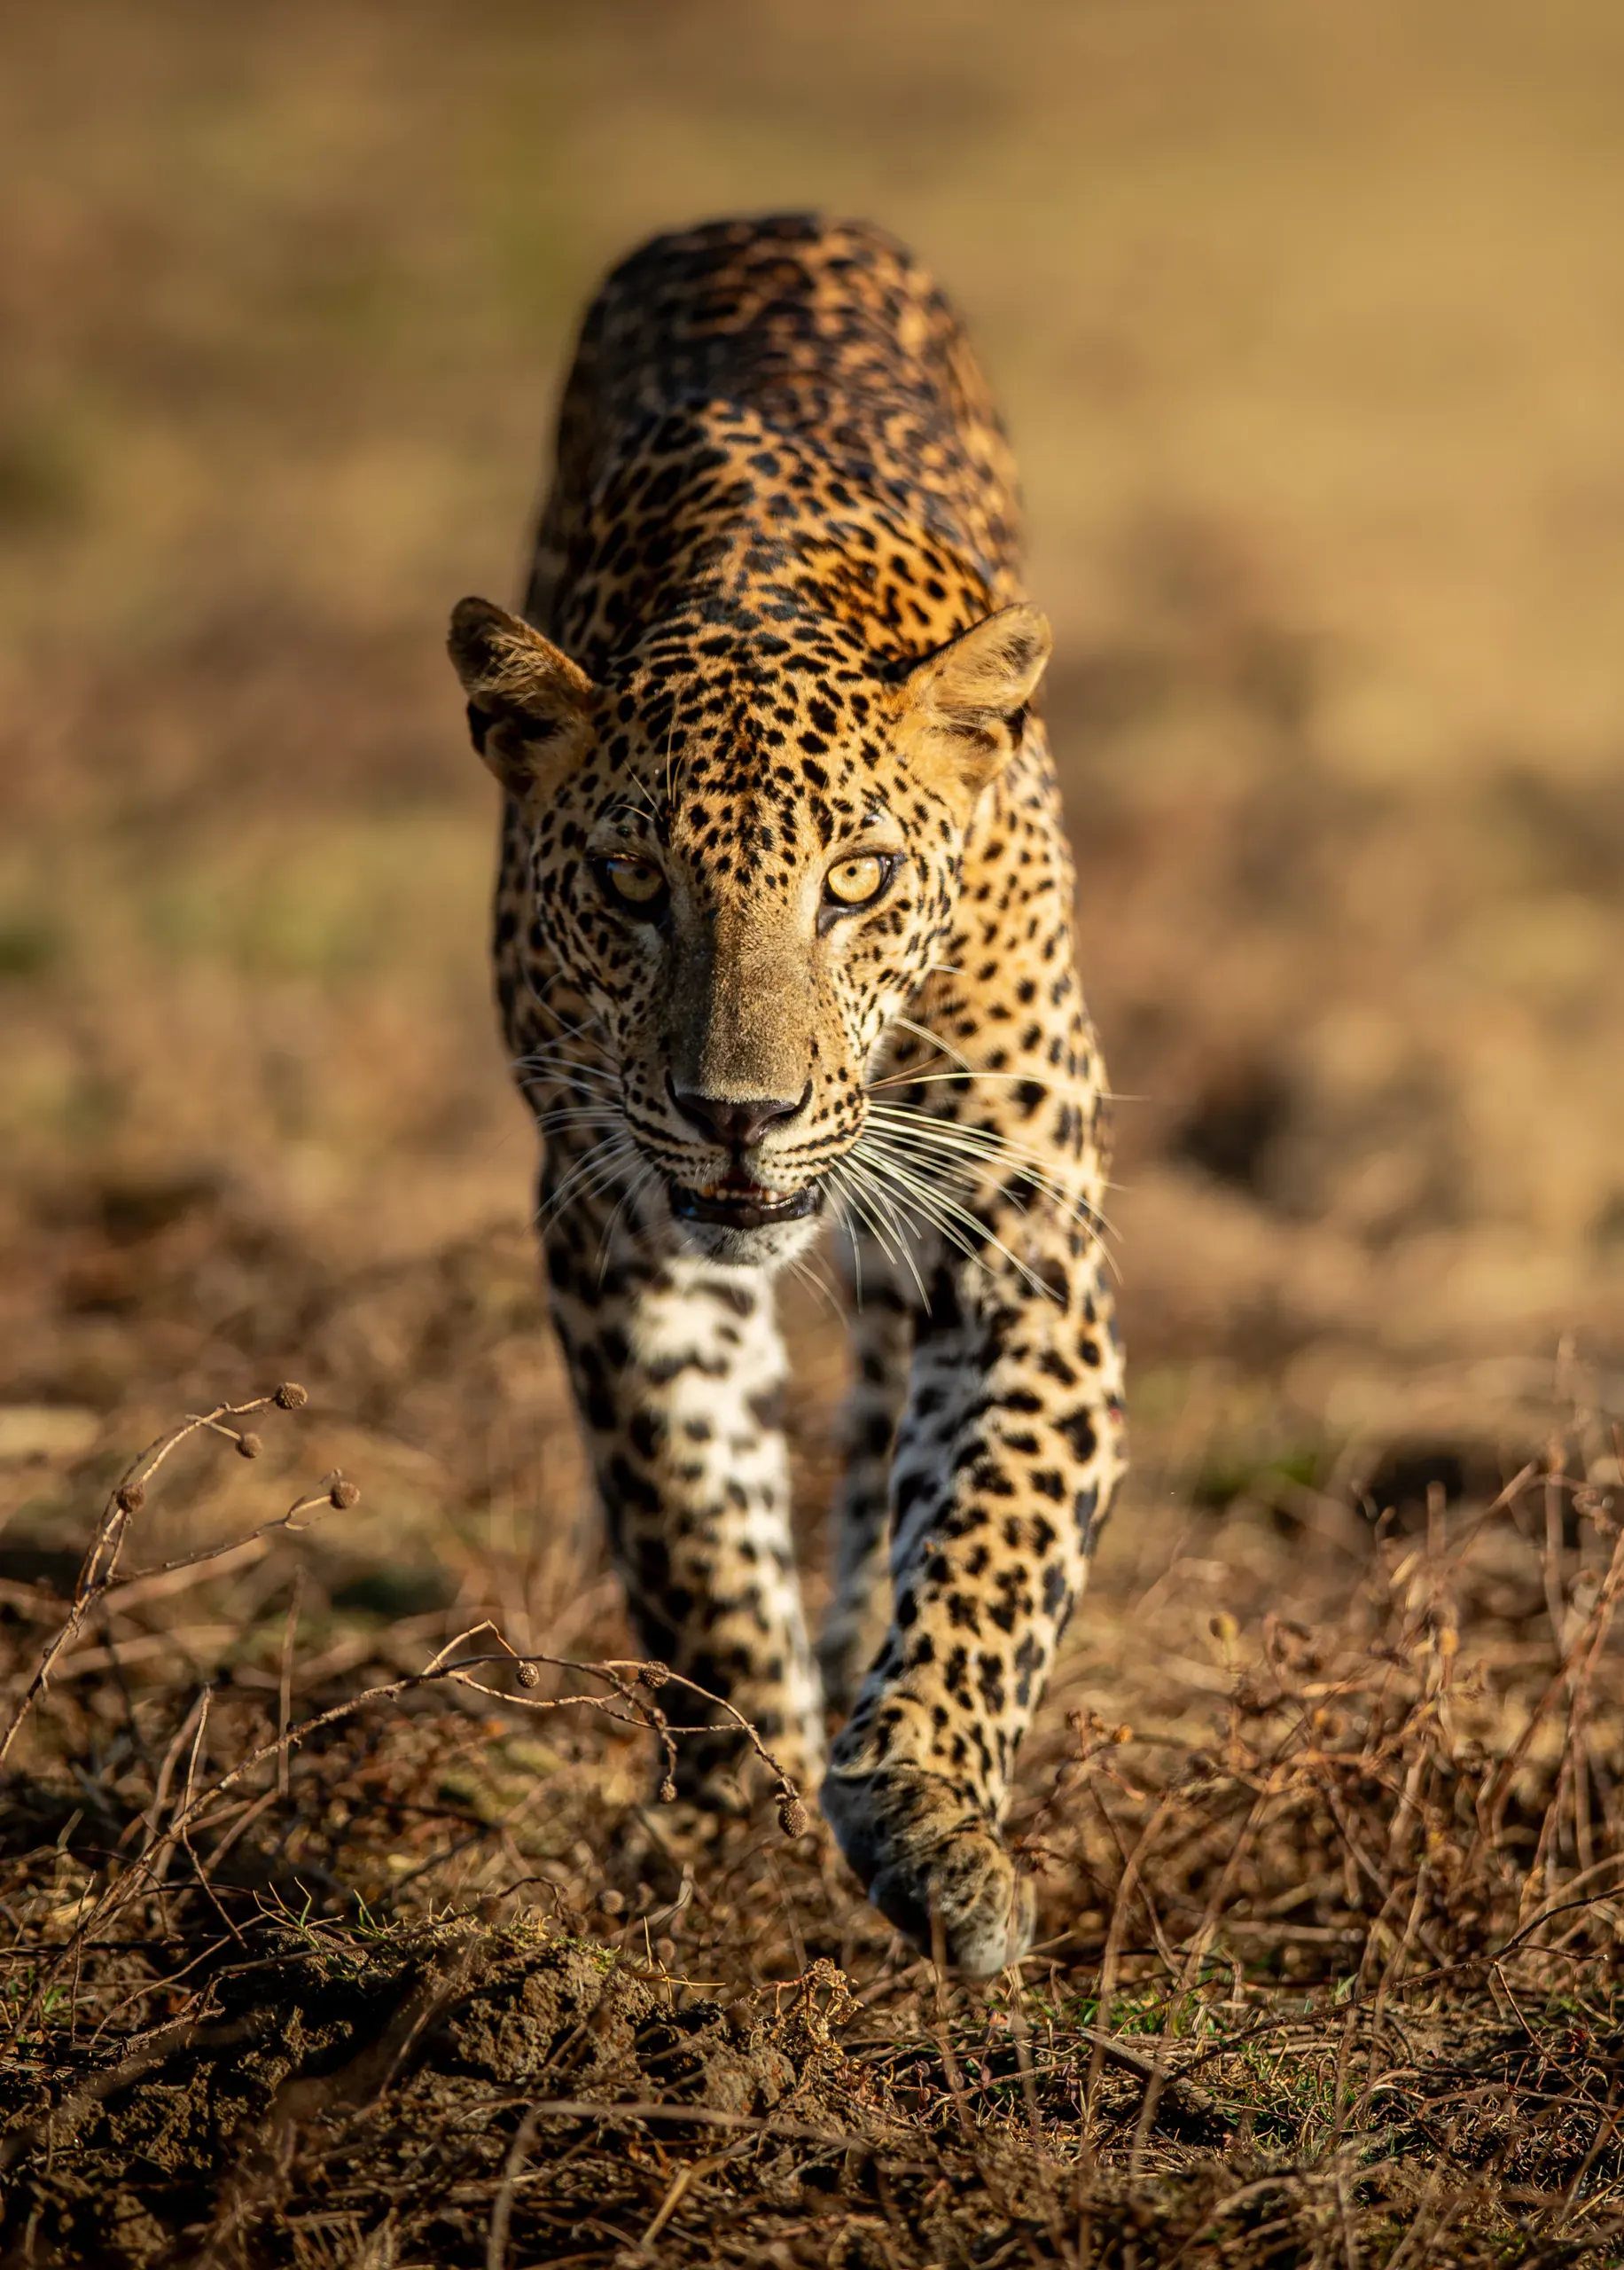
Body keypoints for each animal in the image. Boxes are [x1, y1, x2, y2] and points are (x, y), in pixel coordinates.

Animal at [447, 213, 1125, 1978]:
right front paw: (736, 1810)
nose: (736, 1112)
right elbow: (689, 1523)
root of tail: (758, 215)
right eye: (630, 884)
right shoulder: (616, 1224)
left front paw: (929, 1814)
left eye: (858, 880)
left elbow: (988, 1547)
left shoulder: (1025, 1248)